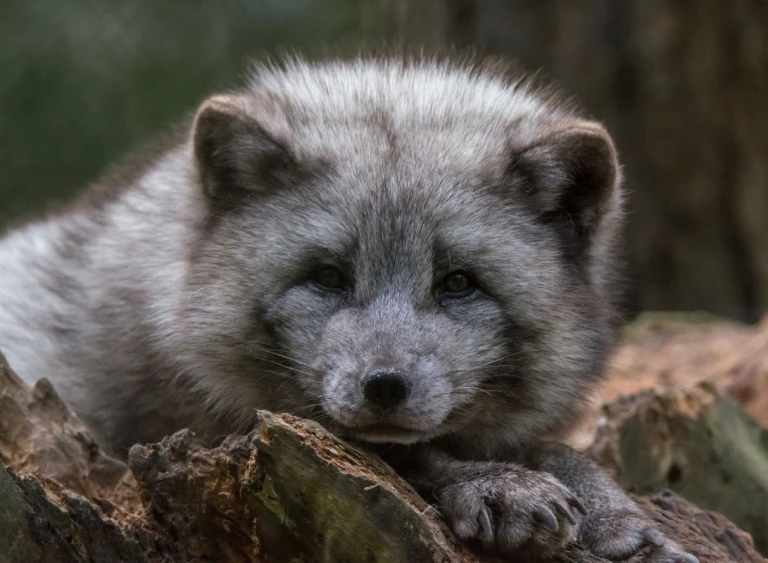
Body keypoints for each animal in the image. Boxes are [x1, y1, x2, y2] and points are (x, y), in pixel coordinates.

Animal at [0, 51, 697, 561]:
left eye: (459, 283)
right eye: (328, 276)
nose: (384, 385)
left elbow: (561, 452)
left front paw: (622, 523)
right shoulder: (178, 431)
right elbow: (407, 457)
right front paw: (497, 485)